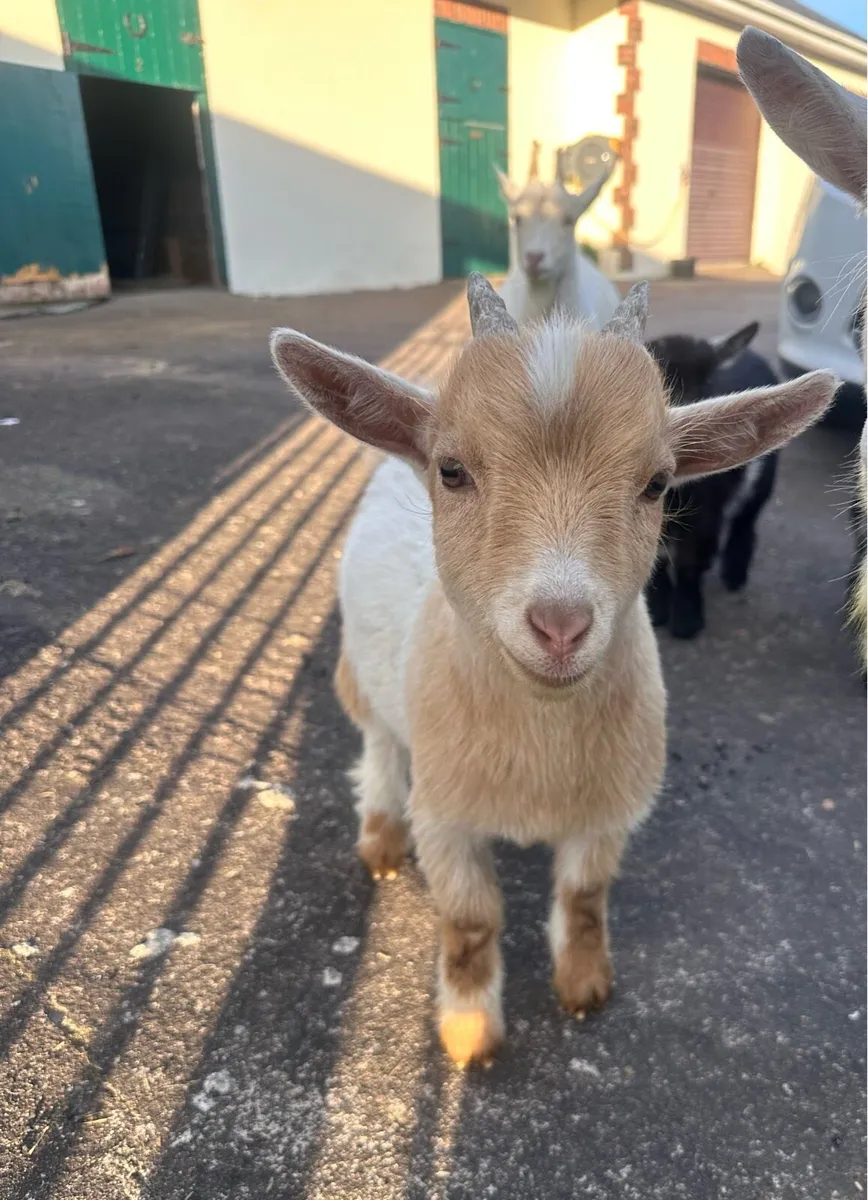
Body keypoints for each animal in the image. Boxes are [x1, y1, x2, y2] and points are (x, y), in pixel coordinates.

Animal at [645, 323, 780, 638]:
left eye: (707, 382)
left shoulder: (706, 514)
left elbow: (691, 563)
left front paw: (687, 618)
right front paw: (658, 609)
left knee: (746, 518)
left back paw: (735, 573)